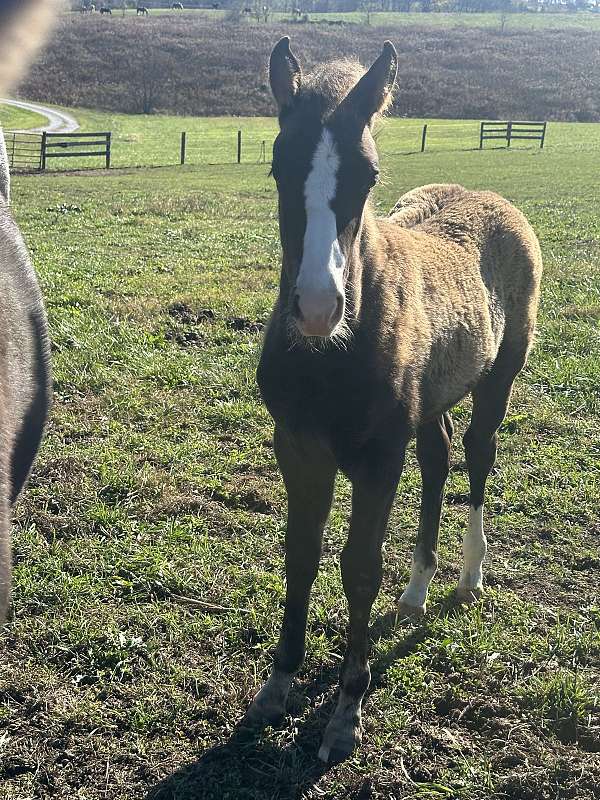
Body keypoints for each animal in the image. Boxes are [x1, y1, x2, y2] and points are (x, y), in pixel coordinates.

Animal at [248, 39, 544, 764]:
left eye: (369, 174)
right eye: (278, 167)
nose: (317, 308)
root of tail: (494, 201)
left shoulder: (379, 459)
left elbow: (358, 569)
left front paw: (345, 713)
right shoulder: (297, 446)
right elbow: (301, 554)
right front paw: (278, 684)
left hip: (498, 379)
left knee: (477, 456)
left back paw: (467, 577)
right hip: (432, 398)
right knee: (438, 458)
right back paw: (417, 589)